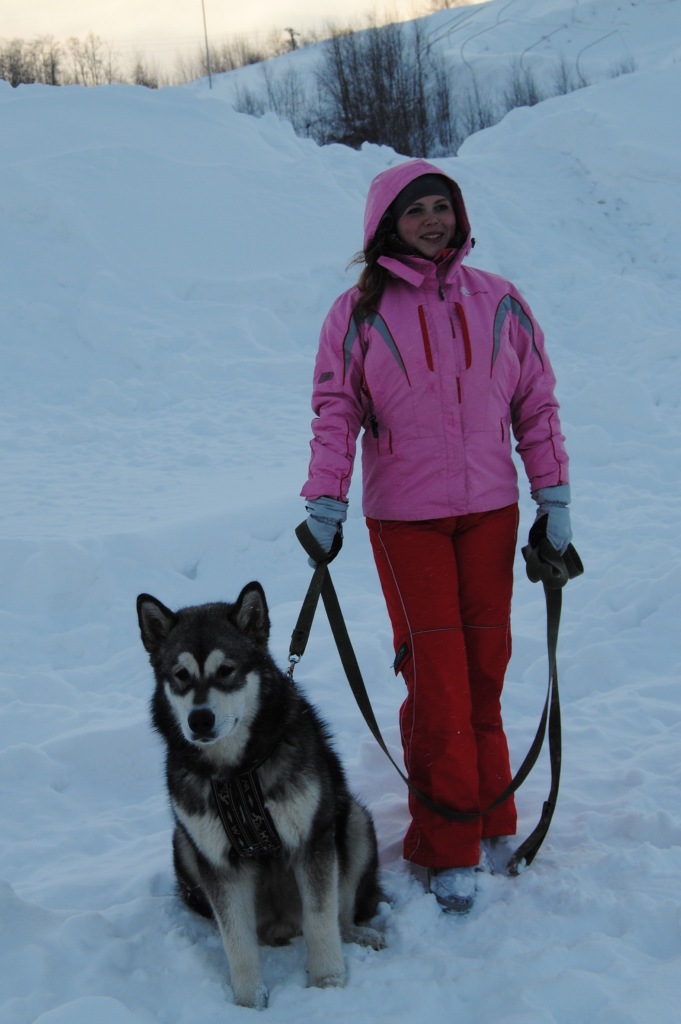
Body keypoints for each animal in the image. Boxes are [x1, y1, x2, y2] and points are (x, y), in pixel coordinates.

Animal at [137, 581, 385, 1009]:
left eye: (226, 671)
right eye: (181, 675)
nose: (199, 720)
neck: (237, 773)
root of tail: (281, 926)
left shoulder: (311, 840)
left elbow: (321, 920)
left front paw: (328, 984)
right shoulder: (217, 861)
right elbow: (237, 941)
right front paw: (248, 1004)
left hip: (352, 818)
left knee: (341, 914)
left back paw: (358, 936)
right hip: (184, 847)